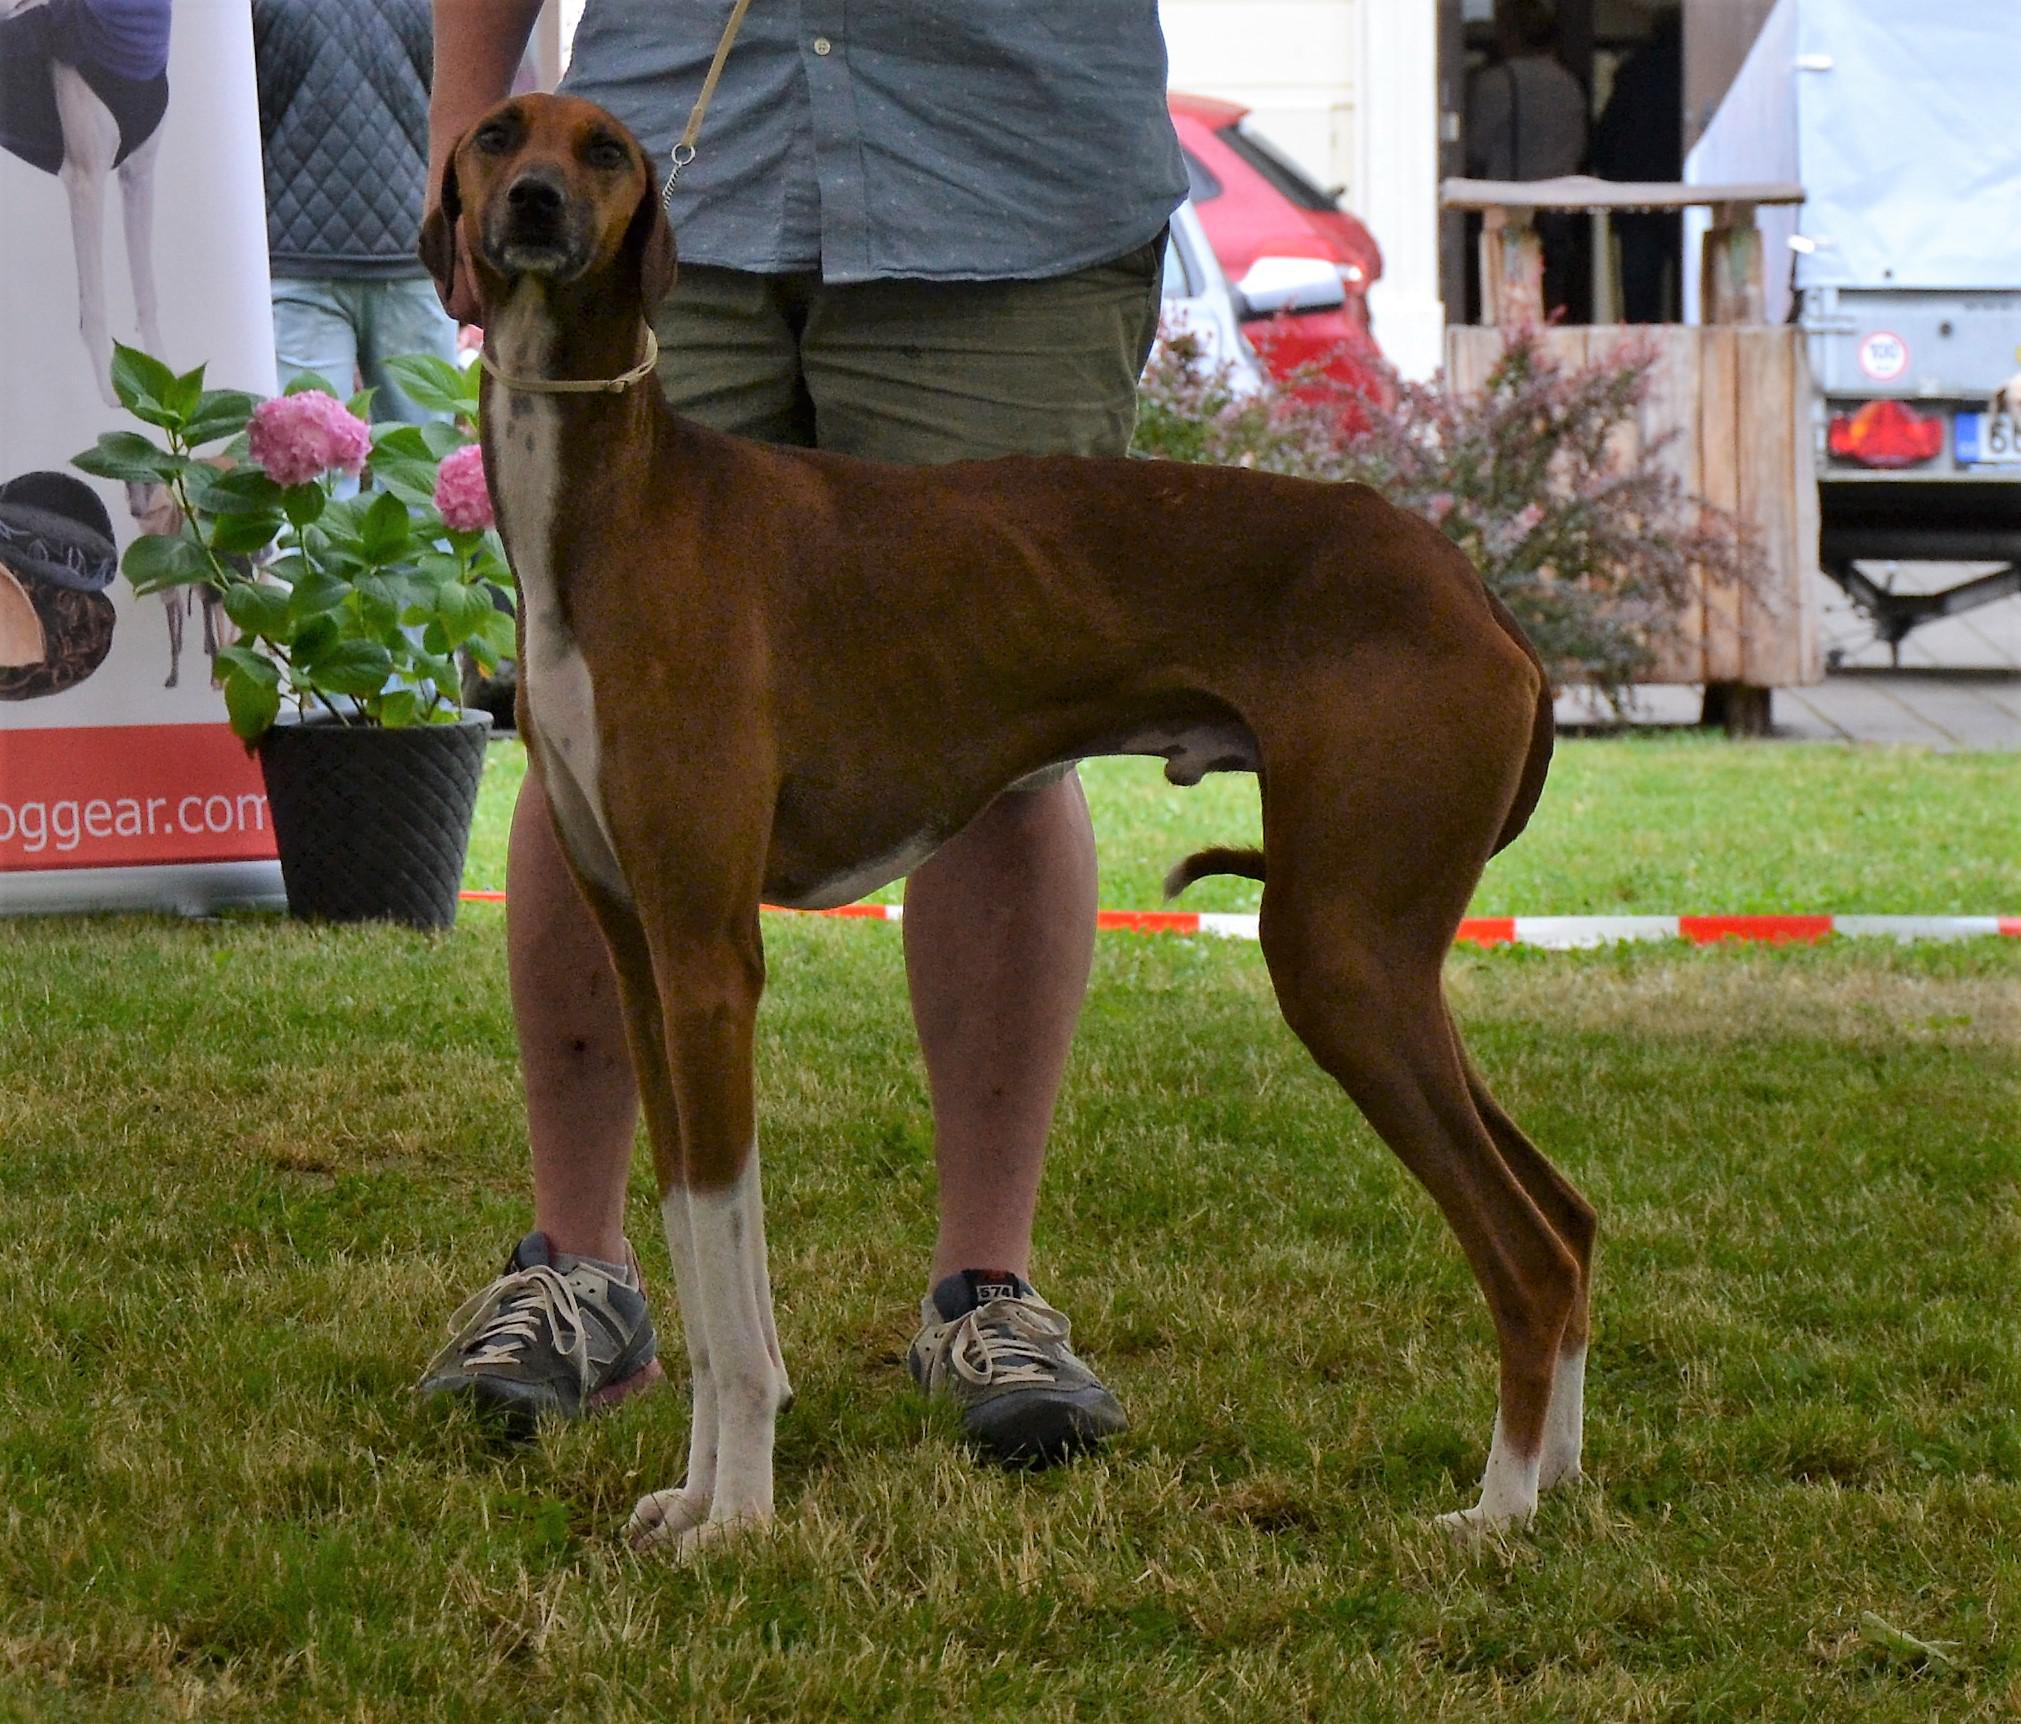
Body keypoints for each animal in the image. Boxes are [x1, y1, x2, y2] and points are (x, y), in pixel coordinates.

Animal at [0, 0, 172, 406]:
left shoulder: (139, 178)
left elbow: (147, 293)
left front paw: (165, 378)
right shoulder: (85, 181)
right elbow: (94, 304)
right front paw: (112, 392)